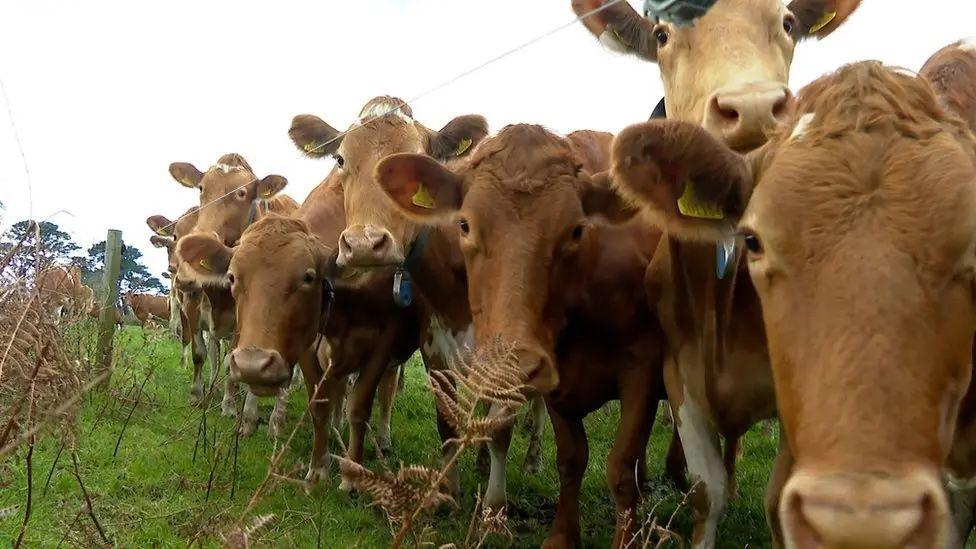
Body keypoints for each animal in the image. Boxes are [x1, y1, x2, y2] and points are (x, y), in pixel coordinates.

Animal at [175, 170, 416, 484]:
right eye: (232, 277)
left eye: (308, 277)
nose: (253, 365)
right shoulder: (307, 346)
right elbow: (319, 404)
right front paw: (318, 468)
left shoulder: (383, 342)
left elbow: (360, 406)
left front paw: (352, 475)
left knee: (386, 391)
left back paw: (383, 440)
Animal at [370, 125, 692, 548]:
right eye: (464, 225)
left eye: (576, 229)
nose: (510, 363)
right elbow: (571, 459)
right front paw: (561, 536)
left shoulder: (642, 367)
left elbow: (623, 468)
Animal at [572, 0, 860, 544]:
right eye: (662, 35)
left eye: (788, 23)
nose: (753, 108)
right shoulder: (678, 372)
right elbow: (708, 492)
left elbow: (780, 501)